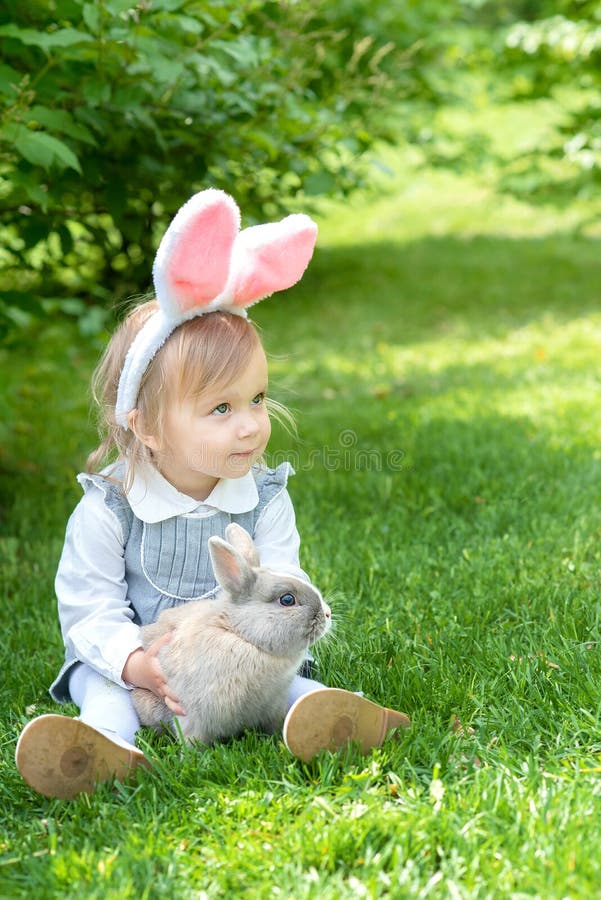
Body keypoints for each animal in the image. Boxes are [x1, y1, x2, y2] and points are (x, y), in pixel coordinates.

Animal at [132, 524, 330, 740]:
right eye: (287, 600)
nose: (327, 614)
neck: (241, 636)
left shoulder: (273, 705)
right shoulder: (193, 716)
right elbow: (193, 738)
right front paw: (190, 751)